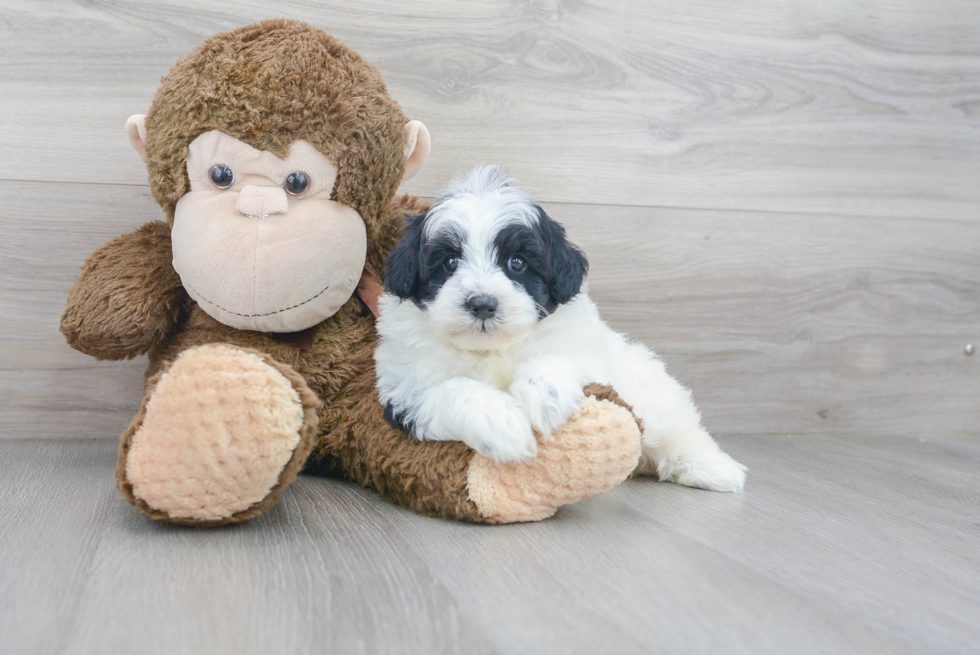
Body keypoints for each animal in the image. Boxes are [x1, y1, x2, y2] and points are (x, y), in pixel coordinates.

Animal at [374, 167, 744, 494]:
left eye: (517, 263)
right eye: (449, 262)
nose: (482, 304)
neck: (493, 348)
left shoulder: (584, 349)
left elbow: (558, 357)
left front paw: (544, 396)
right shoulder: (404, 387)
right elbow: (452, 390)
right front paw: (502, 422)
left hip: (650, 393)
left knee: (676, 430)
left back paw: (713, 468)